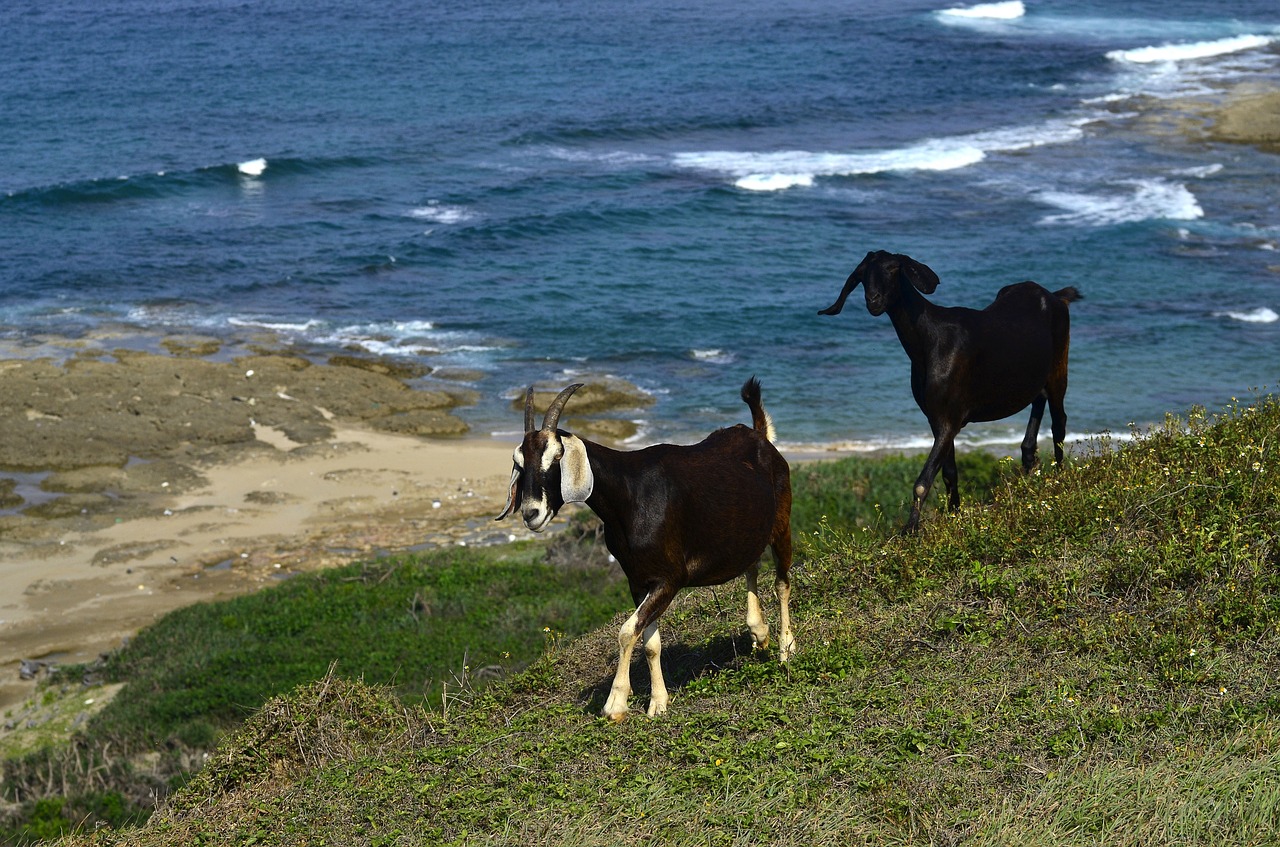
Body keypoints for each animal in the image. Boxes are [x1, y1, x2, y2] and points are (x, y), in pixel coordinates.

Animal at [496, 381, 788, 721]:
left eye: (557, 457)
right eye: (519, 462)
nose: (531, 513)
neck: (629, 495)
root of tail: (759, 435)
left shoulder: (670, 579)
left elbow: (625, 631)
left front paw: (616, 703)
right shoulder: (638, 581)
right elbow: (650, 642)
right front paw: (659, 702)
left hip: (782, 525)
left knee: (782, 582)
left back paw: (786, 649)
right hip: (746, 533)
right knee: (751, 565)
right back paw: (759, 633)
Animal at [819, 249, 1080, 534]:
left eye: (892, 268)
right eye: (863, 273)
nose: (873, 300)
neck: (929, 341)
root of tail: (1055, 297)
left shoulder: (949, 419)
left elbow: (922, 482)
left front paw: (910, 530)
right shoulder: (936, 418)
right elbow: (949, 473)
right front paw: (954, 514)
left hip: (1059, 365)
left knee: (1059, 421)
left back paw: (1059, 479)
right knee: (1038, 403)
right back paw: (1029, 464)